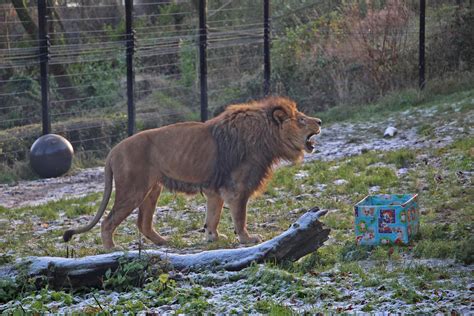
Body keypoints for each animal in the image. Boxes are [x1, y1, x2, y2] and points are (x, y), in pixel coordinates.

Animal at [63, 97, 320, 249]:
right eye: (301, 119)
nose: (319, 120)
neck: (266, 136)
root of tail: (113, 151)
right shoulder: (236, 188)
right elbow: (240, 216)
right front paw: (247, 239)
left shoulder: (215, 189)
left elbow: (213, 216)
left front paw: (213, 237)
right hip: (133, 190)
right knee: (107, 222)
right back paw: (113, 250)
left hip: (151, 190)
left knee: (143, 223)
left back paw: (165, 243)